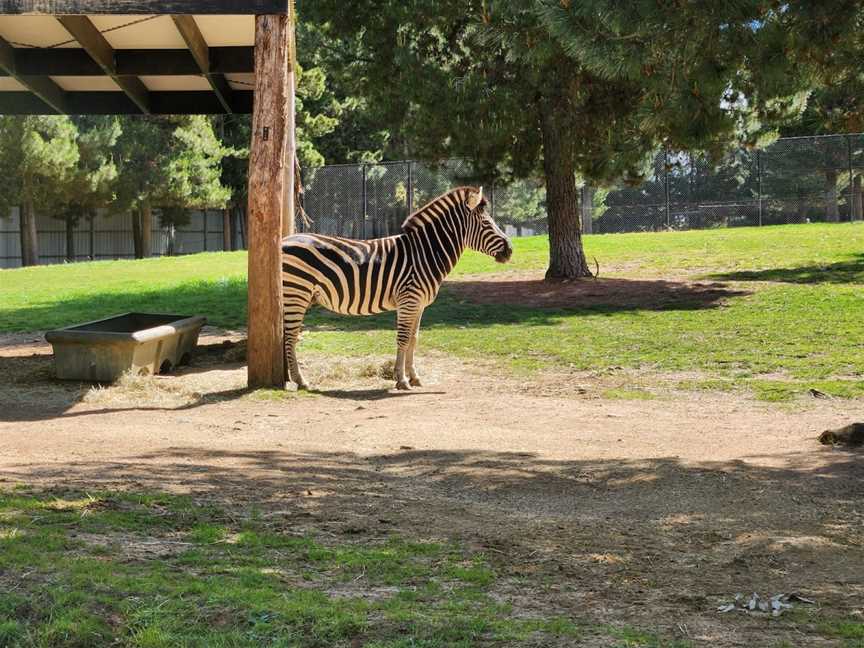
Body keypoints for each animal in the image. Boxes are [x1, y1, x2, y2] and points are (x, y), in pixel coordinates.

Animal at [284, 185, 512, 392]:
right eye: (487, 223)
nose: (510, 250)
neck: (425, 253)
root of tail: (285, 238)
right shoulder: (409, 300)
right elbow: (402, 338)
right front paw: (401, 380)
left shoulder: (419, 304)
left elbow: (413, 338)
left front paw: (414, 377)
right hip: (297, 293)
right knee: (290, 336)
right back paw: (300, 381)